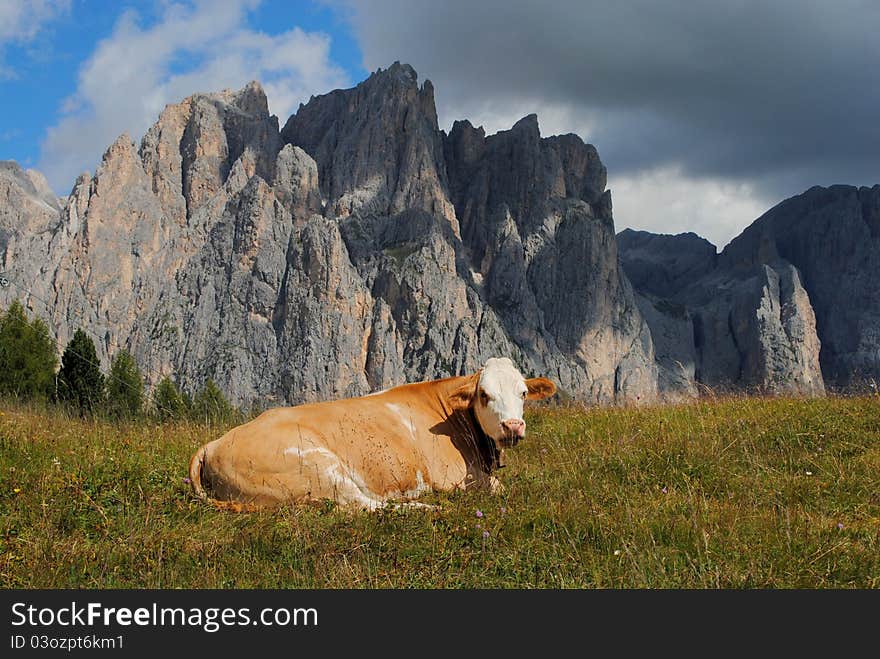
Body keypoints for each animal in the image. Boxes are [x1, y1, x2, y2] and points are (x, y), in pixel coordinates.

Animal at [187, 358, 556, 512]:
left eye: (523, 393)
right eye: (484, 395)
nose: (513, 426)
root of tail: (213, 443)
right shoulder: (453, 478)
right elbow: (499, 488)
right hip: (319, 466)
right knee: (357, 506)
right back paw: (424, 507)